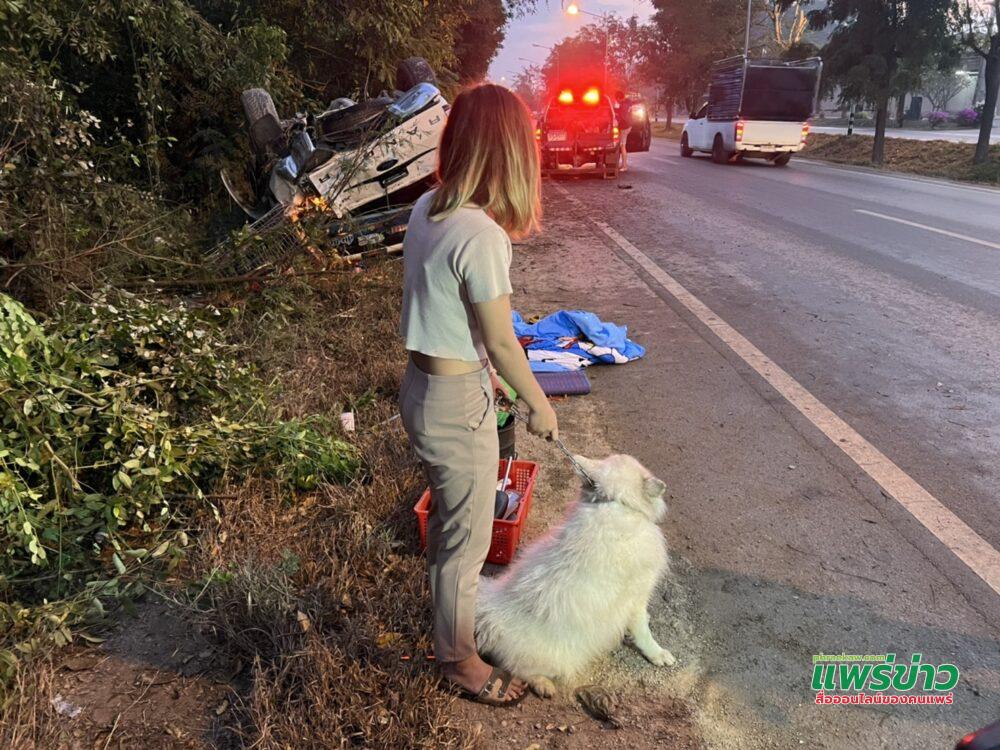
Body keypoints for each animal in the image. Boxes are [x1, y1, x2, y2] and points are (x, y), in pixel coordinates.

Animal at [475, 453, 675, 698]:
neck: (616, 504)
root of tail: (491, 614)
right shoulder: (636, 595)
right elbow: (643, 633)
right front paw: (657, 654)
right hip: (555, 659)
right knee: (516, 669)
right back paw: (542, 684)